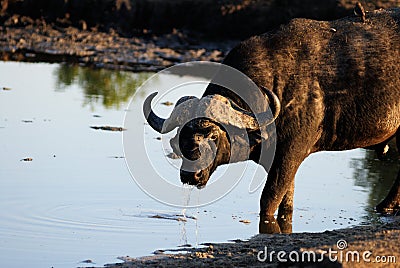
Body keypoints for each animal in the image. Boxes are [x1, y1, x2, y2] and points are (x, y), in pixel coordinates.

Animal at [145, 7, 400, 231]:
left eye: (213, 135)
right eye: (181, 137)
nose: (190, 174)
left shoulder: (291, 153)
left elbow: (268, 199)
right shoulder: (280, 159)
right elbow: (286, 201)